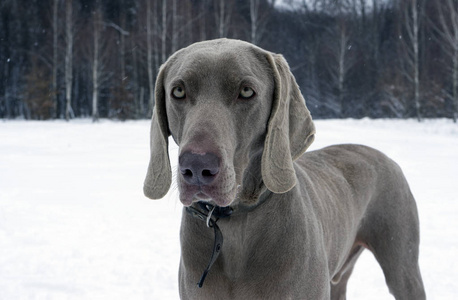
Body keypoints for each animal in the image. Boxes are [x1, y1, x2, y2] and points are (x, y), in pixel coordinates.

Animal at [144, 38, 426, 298]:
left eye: (246, 92)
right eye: (178, 92)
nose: (197, 166)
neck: (237, 223)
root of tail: (383, 155)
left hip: (401, 261)